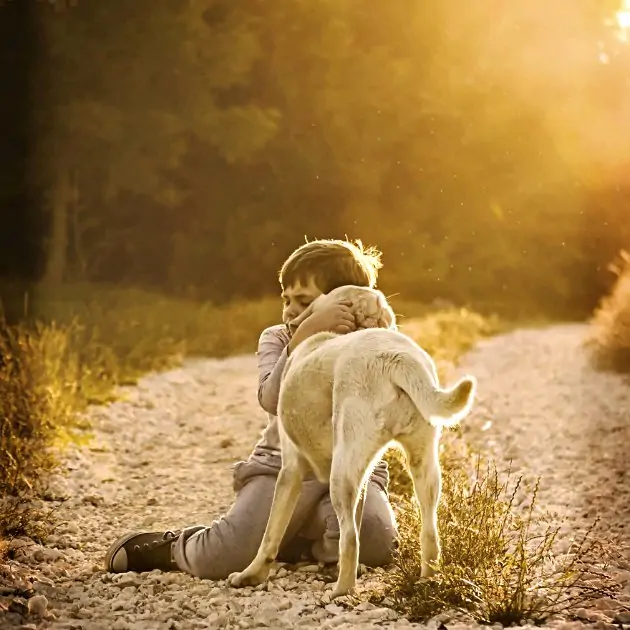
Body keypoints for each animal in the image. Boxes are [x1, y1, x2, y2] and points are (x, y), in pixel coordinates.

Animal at [228, 288, 478, 600]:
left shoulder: (290, 470)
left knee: (349, 538)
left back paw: (340, 591)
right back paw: (427, 581)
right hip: (424, 466)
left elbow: (270, 534)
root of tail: (396, 357)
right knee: (429, 530)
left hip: (341, 476)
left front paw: (250, 575)